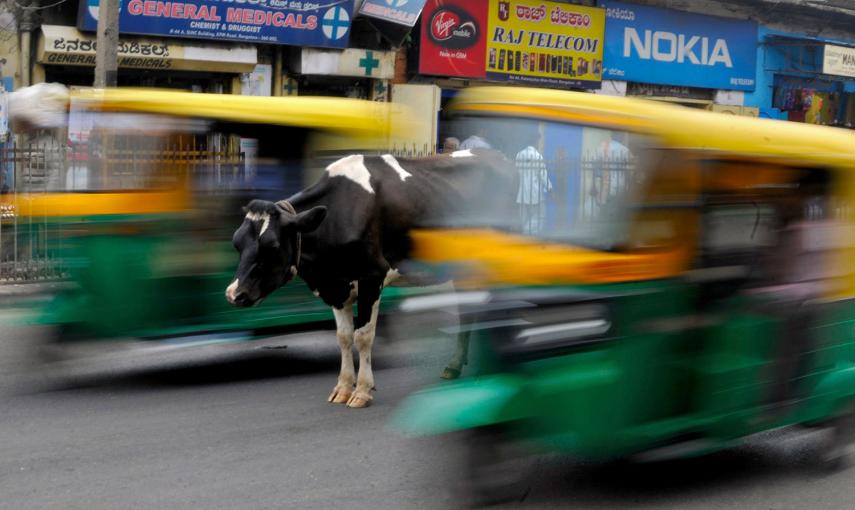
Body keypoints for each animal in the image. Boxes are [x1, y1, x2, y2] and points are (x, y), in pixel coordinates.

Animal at [226, 149, 516, 408]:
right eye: (237, 243)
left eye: (272, 246)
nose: (234, 293)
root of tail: (496, 155)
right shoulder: (337, 284)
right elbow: (344, 336)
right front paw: (343, 387)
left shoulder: (372, 276)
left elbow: (363, 336)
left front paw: (362, 391)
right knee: (470, 310)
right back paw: (455, 366)